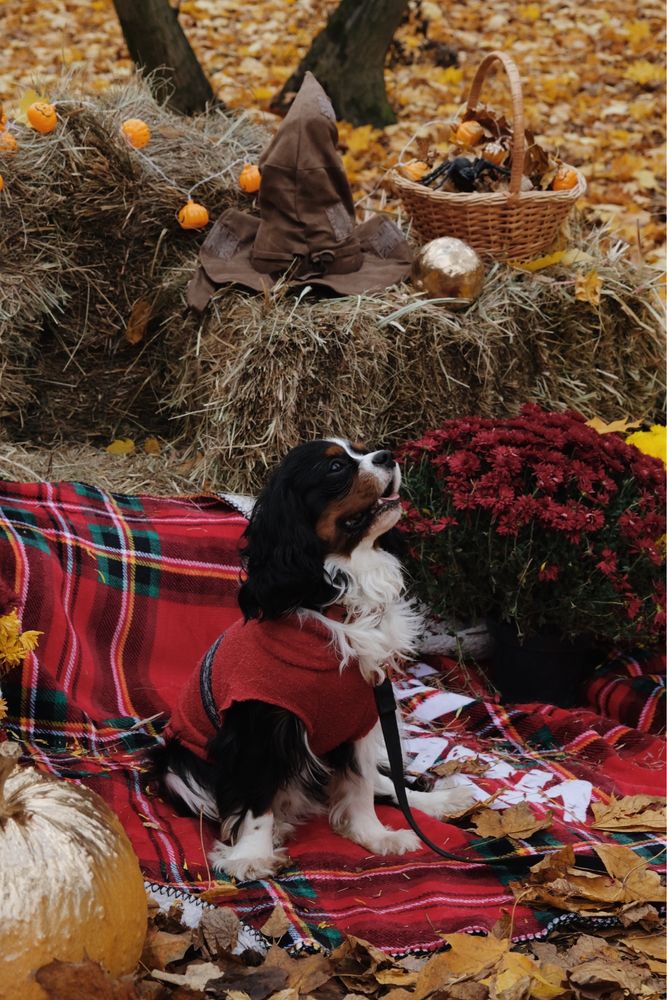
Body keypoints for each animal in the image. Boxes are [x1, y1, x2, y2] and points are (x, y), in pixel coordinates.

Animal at [153, 442, 472, 880]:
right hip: (177, 768)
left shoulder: (359, 720)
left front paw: (373, 835)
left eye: (361, 450)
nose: (387, 455)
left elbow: (361, 786)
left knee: (386, 783)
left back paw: (441, 802)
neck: (337, 603)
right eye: (335, 466)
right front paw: (251, 855)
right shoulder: (261, 727)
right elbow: (257, 801)